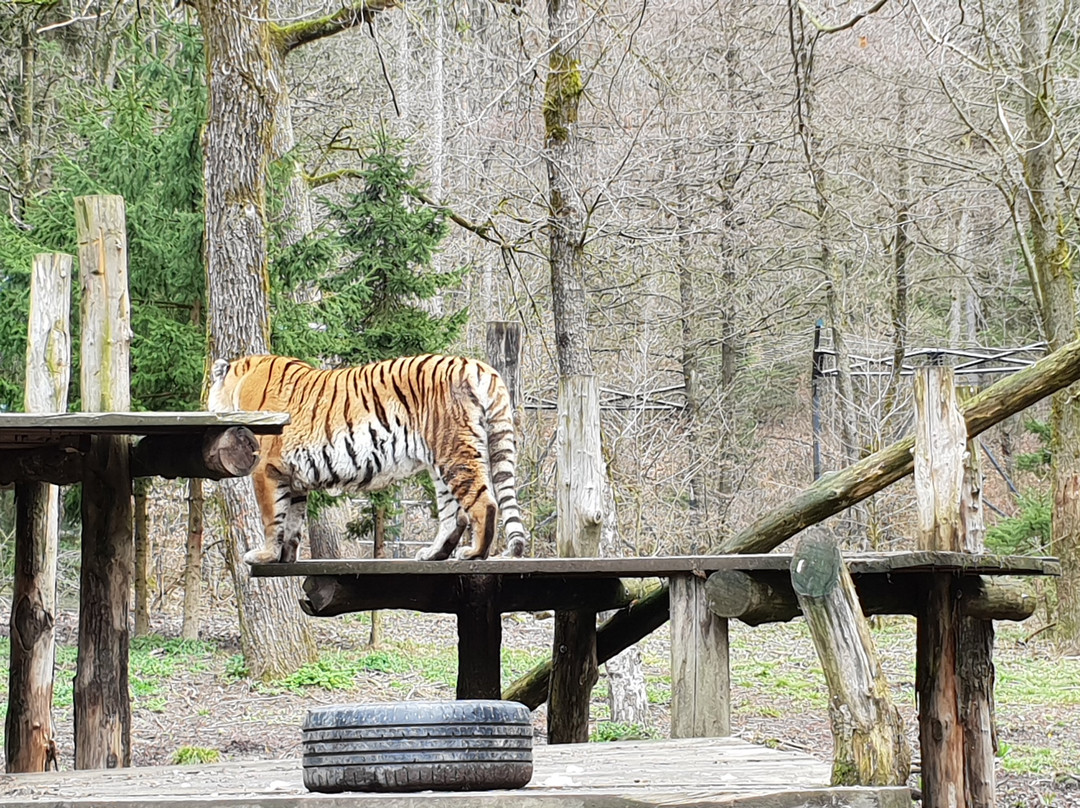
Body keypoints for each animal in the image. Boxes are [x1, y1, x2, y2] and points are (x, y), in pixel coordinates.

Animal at [206, 356, 527, 566]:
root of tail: (478, 366)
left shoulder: (264, 469)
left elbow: (271, 517)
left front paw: (265, 556)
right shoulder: (292, 477)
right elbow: (293, 518)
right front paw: (285, 557)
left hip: (454, 451)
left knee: (484, 503)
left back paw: (475, 554)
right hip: (441, 463)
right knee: (454, 516)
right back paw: (433, 554)